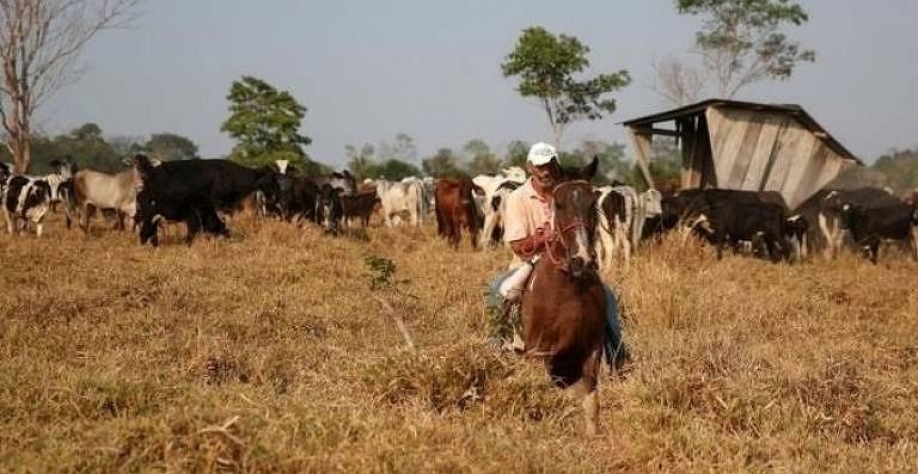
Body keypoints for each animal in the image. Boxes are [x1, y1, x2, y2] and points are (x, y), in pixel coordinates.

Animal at [520, 161, 608, 436]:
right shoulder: (541, 353)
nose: (583, 259)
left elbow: (591, 403)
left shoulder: (591, 351)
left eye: (593, 202)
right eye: (558, 204)